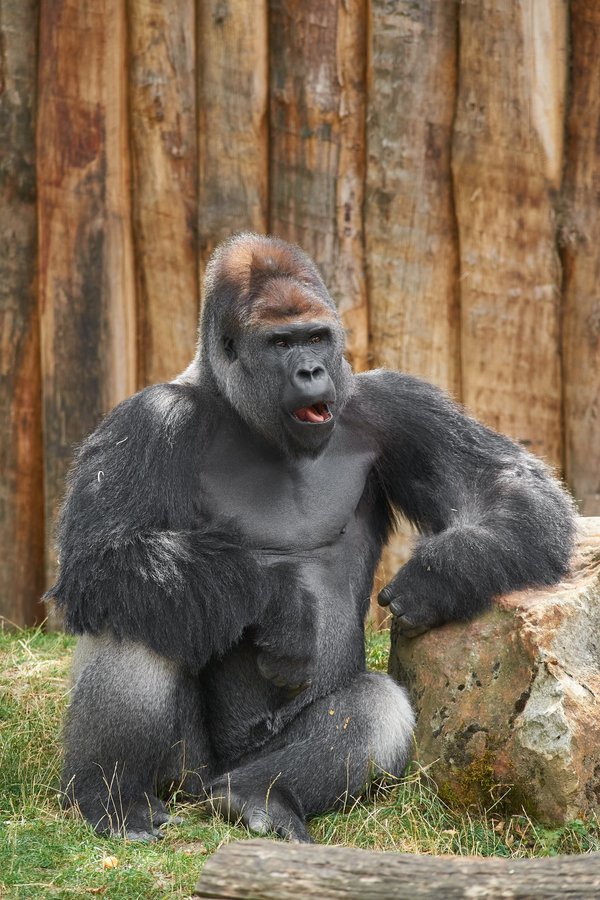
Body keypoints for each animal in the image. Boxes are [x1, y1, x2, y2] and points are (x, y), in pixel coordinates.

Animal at [46, 233, 575, 843]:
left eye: (317, 336)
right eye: (281, 343)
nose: (311, 370)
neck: (237, 407)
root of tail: (212, 783)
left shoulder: (392, 402)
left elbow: (502, 482)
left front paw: (441, 576)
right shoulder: (149, 420)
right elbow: (100, 559)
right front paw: (280, 606)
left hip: (248, 763)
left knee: (373, 708)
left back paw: (259, 795)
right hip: (184, 775)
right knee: (136, 605)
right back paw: (114, 797)